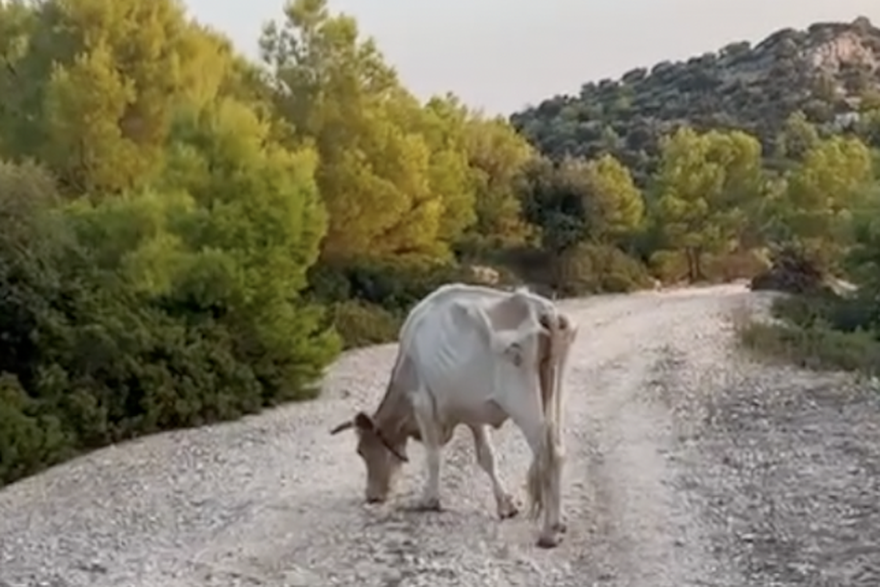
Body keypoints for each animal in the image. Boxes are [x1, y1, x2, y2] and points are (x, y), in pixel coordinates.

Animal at [330, 282, 576, 548]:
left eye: (361, 451)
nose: (372, 496)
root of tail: (543, 309)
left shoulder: (424, 404)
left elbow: (433, 455)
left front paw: (429, 499)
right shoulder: (475, 413)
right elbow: (487, 457)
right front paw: (506, 505)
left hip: (522, 401)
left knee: (549, 454)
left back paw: (549, 531)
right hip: (554, 395)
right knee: (558, 450)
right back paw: (561, 521)